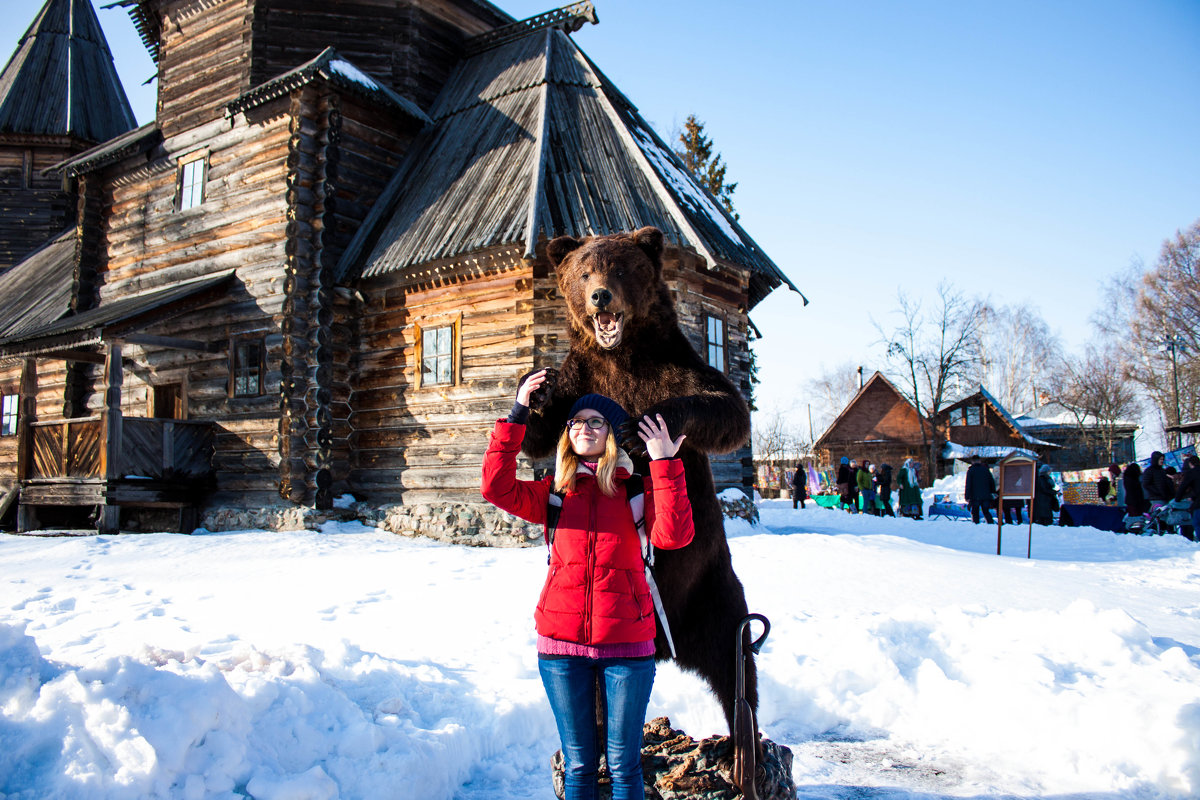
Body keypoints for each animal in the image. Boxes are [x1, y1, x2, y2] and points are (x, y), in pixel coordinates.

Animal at [518, 224, 758, 734]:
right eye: (584, 271)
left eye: (623, 268)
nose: (600, 296)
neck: (620, 356)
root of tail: (668, 647)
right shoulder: (581, 377)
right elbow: (538, 434)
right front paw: (536, 392)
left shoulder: (672, 365)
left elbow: (727, 407)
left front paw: (642, 428)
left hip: (713, 587)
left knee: (736, 660)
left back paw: (742, 737)